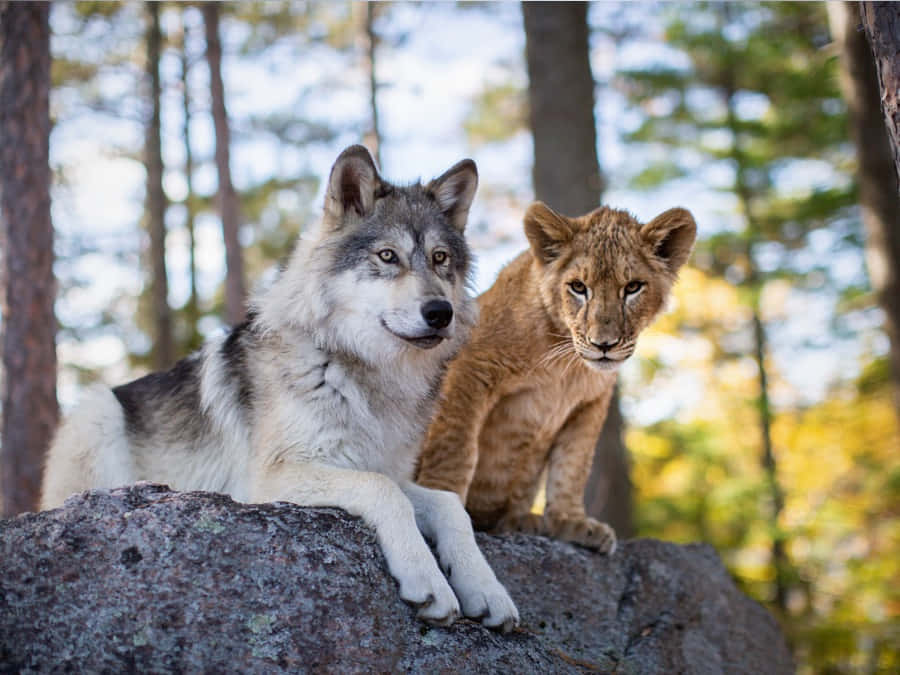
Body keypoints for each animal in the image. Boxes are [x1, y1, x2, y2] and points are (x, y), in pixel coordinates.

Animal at [42, 145, 520, 632]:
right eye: (388, 256)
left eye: (441, 259)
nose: (440, 312)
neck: (363, 373)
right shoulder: (271, 479)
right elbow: (382, 492)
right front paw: (428, 580)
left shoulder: (384, 467)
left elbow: (449, 504)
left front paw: (487, 589)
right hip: (97, 411)